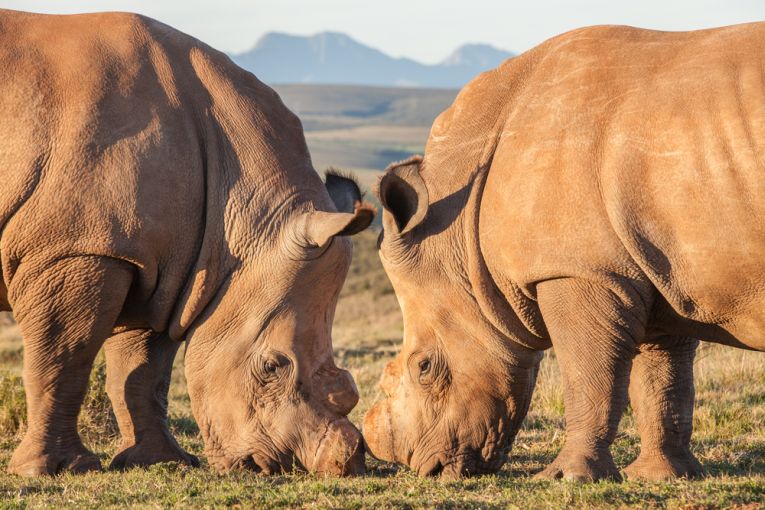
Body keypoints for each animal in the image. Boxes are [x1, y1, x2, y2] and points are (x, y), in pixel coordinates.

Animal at [0, 10, 374, 477]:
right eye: (271, 366)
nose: (346, 464)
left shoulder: (163, 265)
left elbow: (142, 371)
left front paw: (160, 460)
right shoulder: (76, 247)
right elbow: (62, 358)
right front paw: (57, 469)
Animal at [363, 23, 765, 481]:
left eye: (424, 367)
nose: (425, 470)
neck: (460, 236)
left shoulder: (577, 270)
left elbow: (587, 376)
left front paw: (567, 477)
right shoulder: (652, 266)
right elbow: (662, 380)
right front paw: (662, 476)